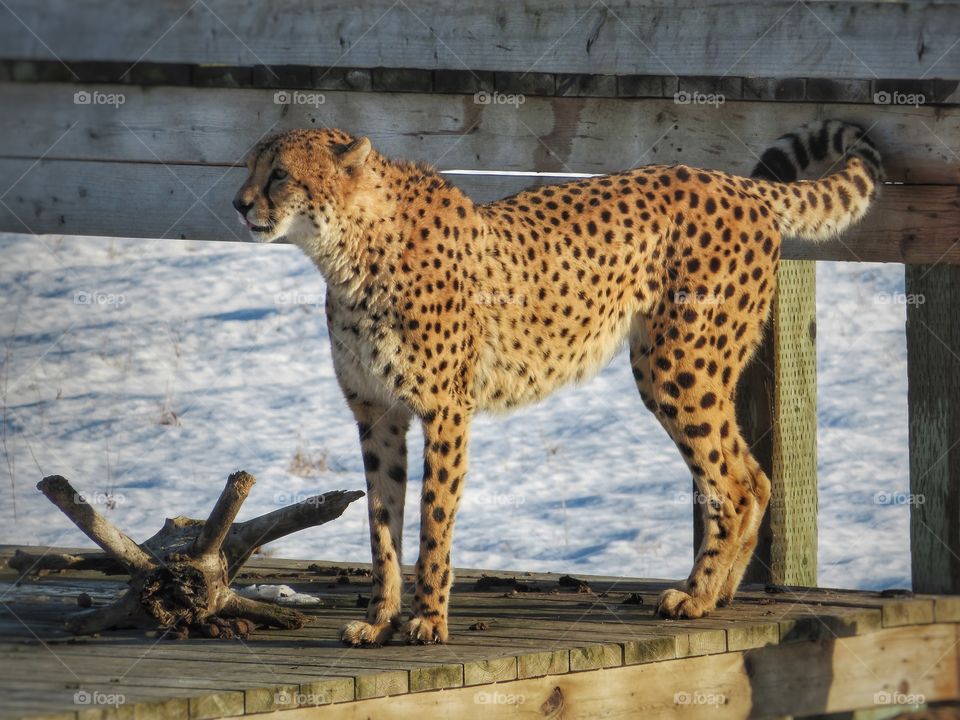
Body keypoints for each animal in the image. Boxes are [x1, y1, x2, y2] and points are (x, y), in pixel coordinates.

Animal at [233, 119, 882, 646]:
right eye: (250, 166)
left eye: (280, 174)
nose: (239, 204)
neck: (351, 248)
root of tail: (729, 181)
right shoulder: (377, 415)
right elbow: (381, 526)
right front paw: (379, 620)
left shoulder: (445, 411)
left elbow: (433, 519)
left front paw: (429, 620)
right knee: (754, 474)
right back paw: (718, 591)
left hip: (678, 367)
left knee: (736, 481)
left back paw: (695, 596)